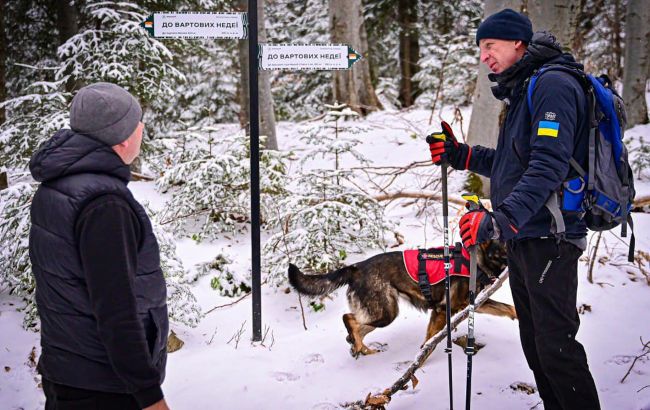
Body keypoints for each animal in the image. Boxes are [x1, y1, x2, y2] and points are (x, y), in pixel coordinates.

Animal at [288, 240, 516, 356]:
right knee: (349, 319)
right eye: (503, 243)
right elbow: (428, 343)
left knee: (355, 329)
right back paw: (360, 346)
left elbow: (507, 308)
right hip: (386, 312)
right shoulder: (443, 310)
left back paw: (360, 347)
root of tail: (356, 267)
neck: (476, 261)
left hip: (381, 313)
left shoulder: (474, 304)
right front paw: (421, 361)